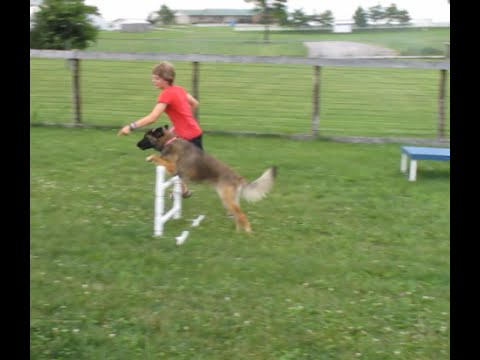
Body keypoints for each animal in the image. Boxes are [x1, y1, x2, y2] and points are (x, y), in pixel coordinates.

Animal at [136, 125, 278, 232]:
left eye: (146, 137)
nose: (137, 144)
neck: (169, 141)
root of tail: (238, 177)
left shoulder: (172, 167)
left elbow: (156, 157)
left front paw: (150, 157)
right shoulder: (179, 175)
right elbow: (182, 184)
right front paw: (183, 193)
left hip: (227, 199)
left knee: (242, 216)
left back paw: (248, 233)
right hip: (229, 201)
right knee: (237, 216)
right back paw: (238, 233)